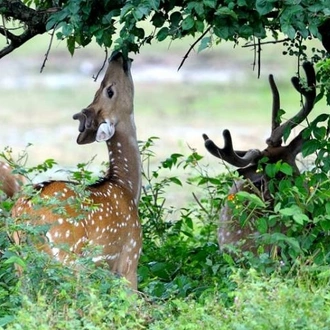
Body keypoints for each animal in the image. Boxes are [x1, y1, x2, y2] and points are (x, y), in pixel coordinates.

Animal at [11, 51, 142, 288]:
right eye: (109, 90)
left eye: (101, 90)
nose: (118, 55)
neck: (127, 186)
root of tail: (21, 218)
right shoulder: (130, 256)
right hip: (67, 255)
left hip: (19, 262)